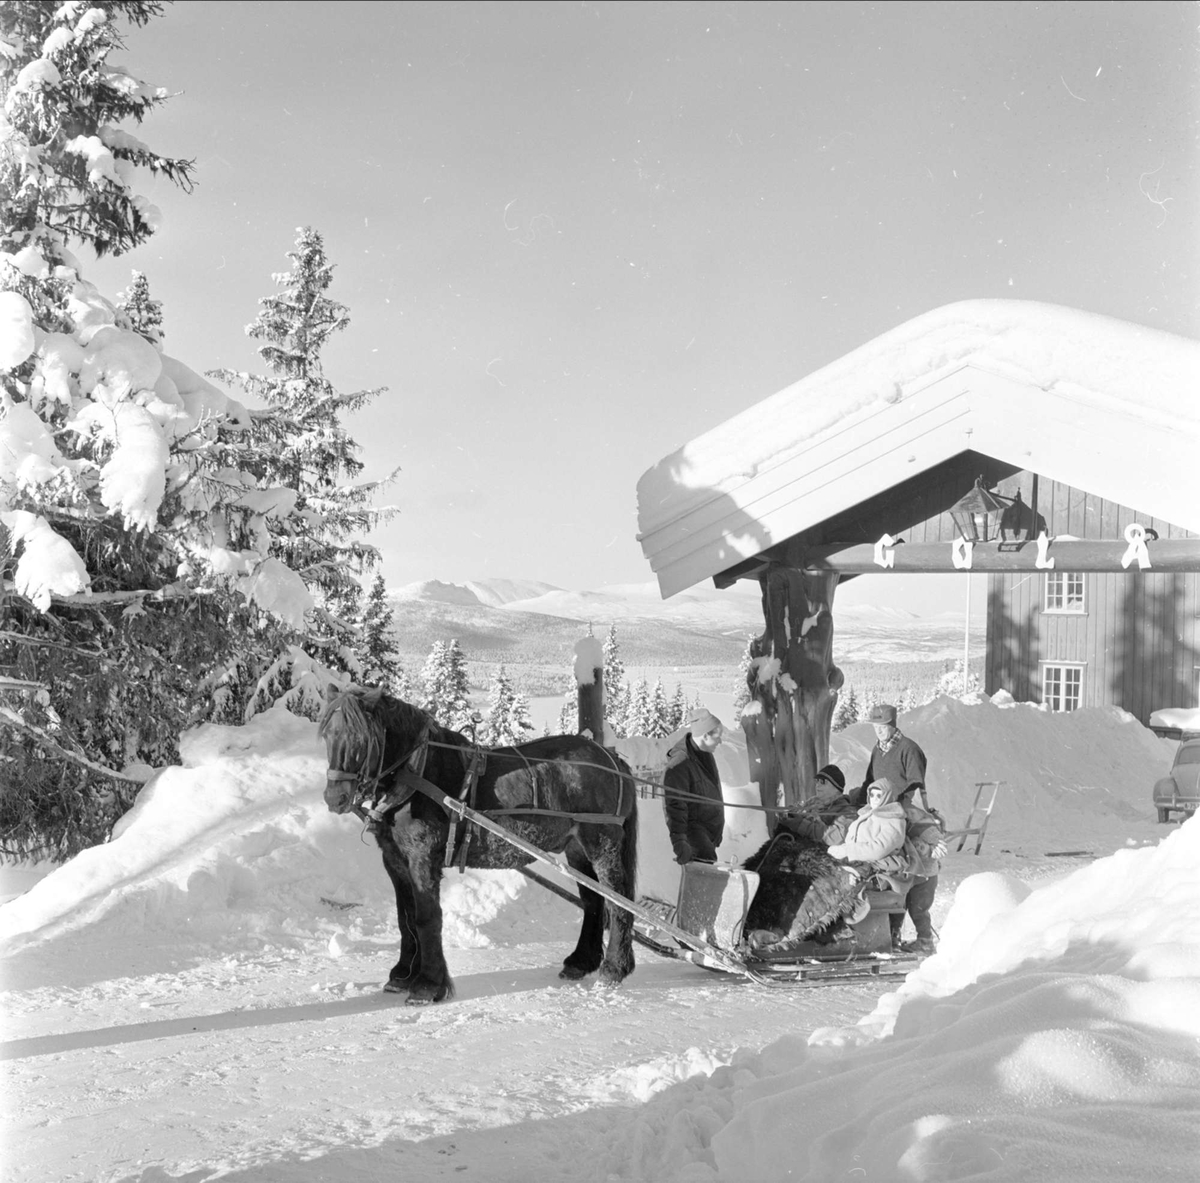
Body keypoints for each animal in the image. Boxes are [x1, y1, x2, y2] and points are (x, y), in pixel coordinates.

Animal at [319, 686, 638, 1003]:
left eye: (361, 738)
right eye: (327, 735)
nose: (335, 798)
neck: (417, 773)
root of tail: (612, 759)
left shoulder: (423, 858)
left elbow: (426, 918)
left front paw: (428, 984)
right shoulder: (395, 860)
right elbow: (405, 917)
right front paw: (402, 975)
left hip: (602, 842)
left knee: (617, 900)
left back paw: (614, 968)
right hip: (577, 850)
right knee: (594, 901)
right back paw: (581, 962)